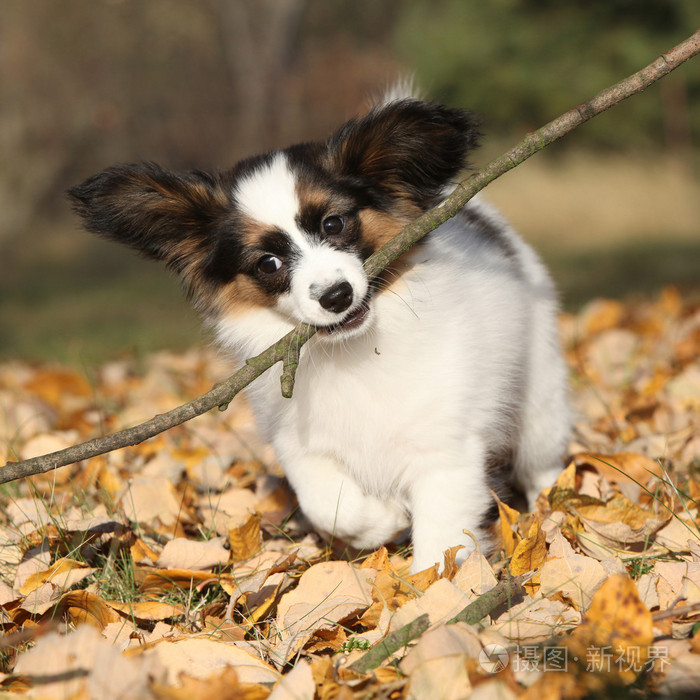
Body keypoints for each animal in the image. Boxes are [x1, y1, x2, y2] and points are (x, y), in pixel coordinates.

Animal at [68, 87, 568, 572]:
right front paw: (382, 521)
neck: (354, 352)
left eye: (334, 223)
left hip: (539, 398)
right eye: (268, 263)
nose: (336, 296)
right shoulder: (297, 439)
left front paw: (433, 592)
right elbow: (327, 504)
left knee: (543, 459)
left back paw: (557, 507)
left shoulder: (445, 449)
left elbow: (441, 544)